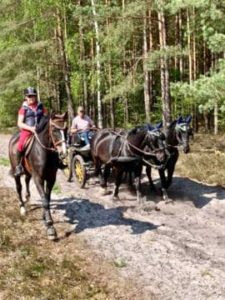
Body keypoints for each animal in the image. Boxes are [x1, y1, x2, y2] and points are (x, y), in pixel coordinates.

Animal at [8, 113, 67, 241]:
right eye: (54, 130)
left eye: (66, 129)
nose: (63, 153)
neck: (45, 153)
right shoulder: (38, 179)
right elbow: (44, 200)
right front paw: (50, 227)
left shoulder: (51, 178)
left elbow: (47, 198)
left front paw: (45, 217)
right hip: (16, 171)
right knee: (19, 187)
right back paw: (22, 208)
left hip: (29, 172)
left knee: (26, 180)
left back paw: (27, 197)